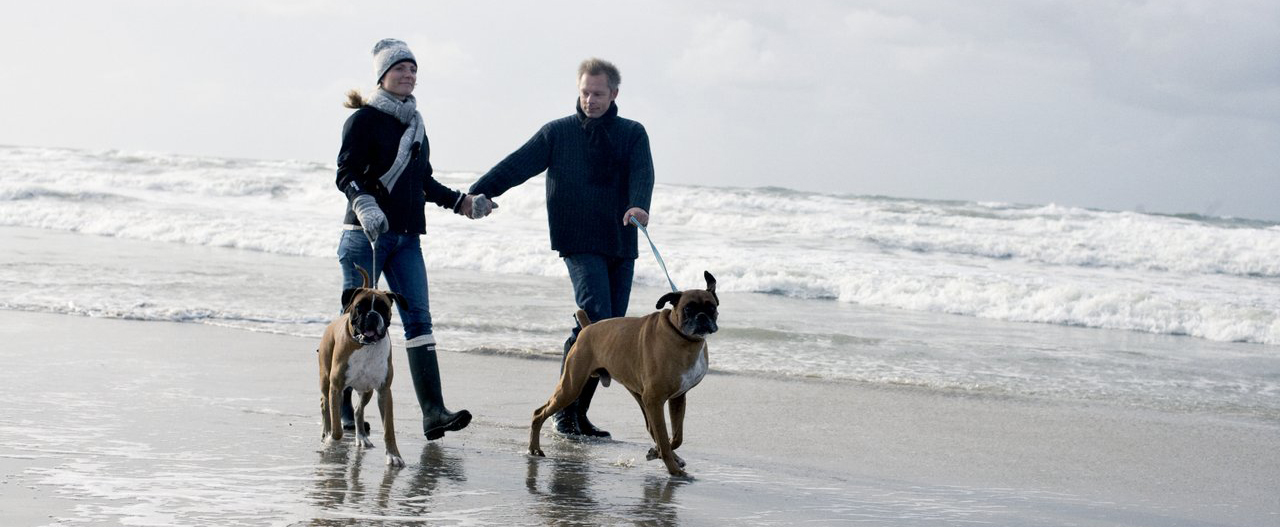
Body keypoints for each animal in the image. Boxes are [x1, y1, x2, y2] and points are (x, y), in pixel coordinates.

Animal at [317, 267, 401, 465]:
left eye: (383, 308)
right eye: (360, 307)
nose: (372, 315)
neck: (366, 346)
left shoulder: (384, 391)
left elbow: (389, 430)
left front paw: (393, 455)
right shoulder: (336, 387)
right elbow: (337, 430)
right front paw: (331, 438)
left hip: (367, 390)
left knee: (357, 410)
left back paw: (361, 437)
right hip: (325, 380)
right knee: (325, 404)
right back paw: (326, 432)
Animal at [524, 271, 716, 478]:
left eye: (712, 307)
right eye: (688, 308)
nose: (702, 316)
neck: (682, 338)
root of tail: (587, 328)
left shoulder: (677, 398)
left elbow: (676, 436)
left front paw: (660, 454)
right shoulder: (655, 399)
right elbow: (664, 439)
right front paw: (672, 468)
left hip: (637, 395)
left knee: (652, 428)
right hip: (571, 387)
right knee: (539, 413)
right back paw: (534, 448)